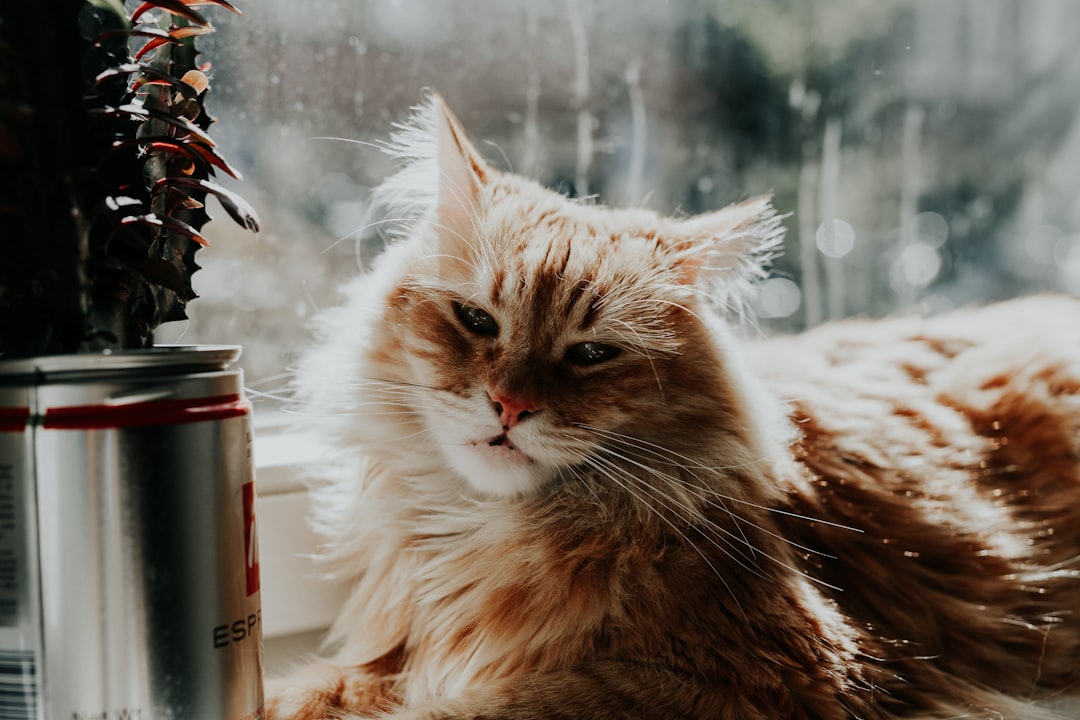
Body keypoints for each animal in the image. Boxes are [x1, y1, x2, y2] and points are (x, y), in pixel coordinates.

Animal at [272, 92, 1080, 716]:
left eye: (591, 355)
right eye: (477, 322)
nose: (508, 405)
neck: (480, 533)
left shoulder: (771, 676)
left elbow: (466, 709)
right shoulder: (397, 650)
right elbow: (314, 690)